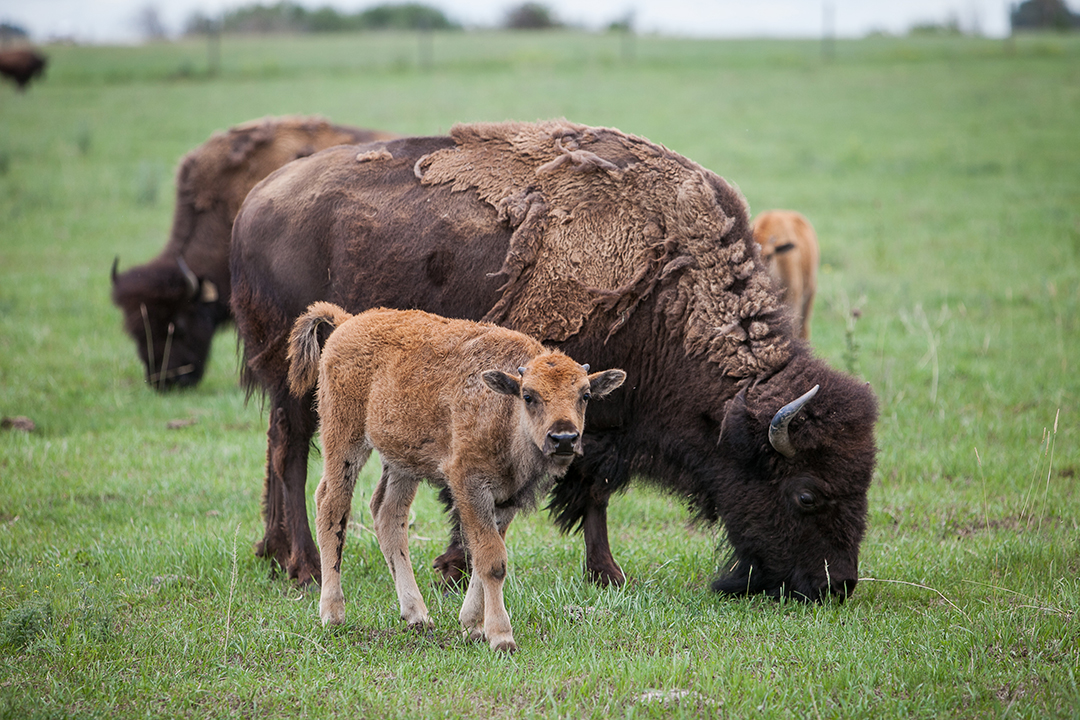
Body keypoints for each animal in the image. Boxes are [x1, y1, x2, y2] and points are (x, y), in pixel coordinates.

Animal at [231, 120, 879, 602]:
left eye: (864, 482)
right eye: (806, 494)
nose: (836, 585)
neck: (668, 289)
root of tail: (253, 205)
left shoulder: (596, 414)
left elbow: (593, 490)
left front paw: (603, 574)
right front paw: (465, 567)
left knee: (276, 449)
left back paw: (273, 552)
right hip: (301, 382)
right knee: (291, 454)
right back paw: (304, 567)